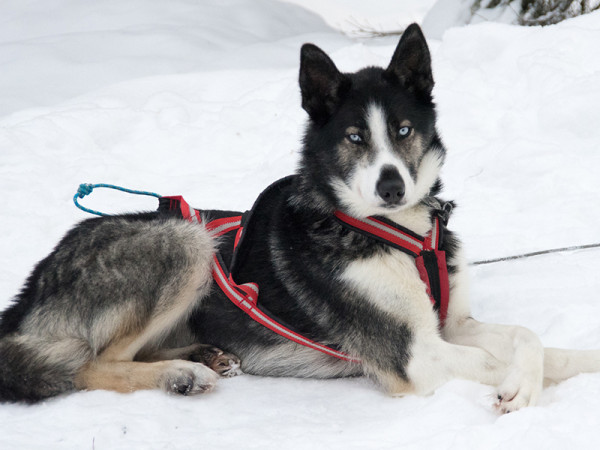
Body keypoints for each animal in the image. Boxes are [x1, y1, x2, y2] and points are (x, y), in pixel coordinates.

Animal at [1, 24, 598, 413]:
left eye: (403, 129)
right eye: (355, 137)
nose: (391, 186)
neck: (395, 234)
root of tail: (30, 290)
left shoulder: (452, 324)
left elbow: (534, 341)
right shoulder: (415, 355)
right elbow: (509, 361)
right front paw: (521, 388)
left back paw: (202, 355)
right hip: (183, 240)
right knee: (88, 366)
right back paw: (181, 374)